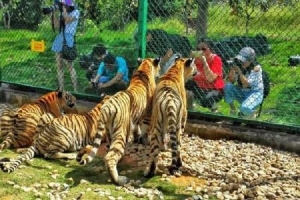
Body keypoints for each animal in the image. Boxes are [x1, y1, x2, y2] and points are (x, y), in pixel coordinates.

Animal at [77, 57, 162, 185]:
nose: (160, 73)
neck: (144, 68)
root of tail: (108, 106)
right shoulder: (148, 115)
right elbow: (145, 130)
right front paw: (145, 141)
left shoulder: (135, 117)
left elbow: (136, 128)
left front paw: (137, 138)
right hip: (121, 133)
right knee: (110, 157)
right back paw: (118, 180)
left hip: (109, 132)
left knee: (110, 150)